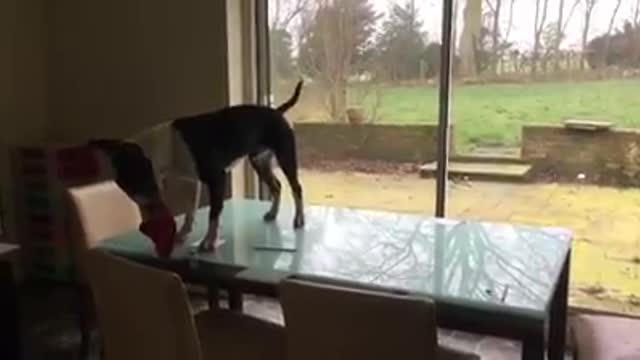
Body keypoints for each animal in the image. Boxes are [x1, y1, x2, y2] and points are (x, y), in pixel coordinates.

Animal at [88, 80, 304, 252]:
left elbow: (213, 213)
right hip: (259, 161)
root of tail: (277, 111)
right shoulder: (193, 182)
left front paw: (209, 241)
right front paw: (183, 234)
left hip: (285, 157)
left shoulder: (217, 179)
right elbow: (190, 210)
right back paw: (272, 213)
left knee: (296, 187)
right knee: (276, 186)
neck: (165, 147)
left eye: (138, 180)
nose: (143, 208)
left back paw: (299, 219)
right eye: (126, 189)